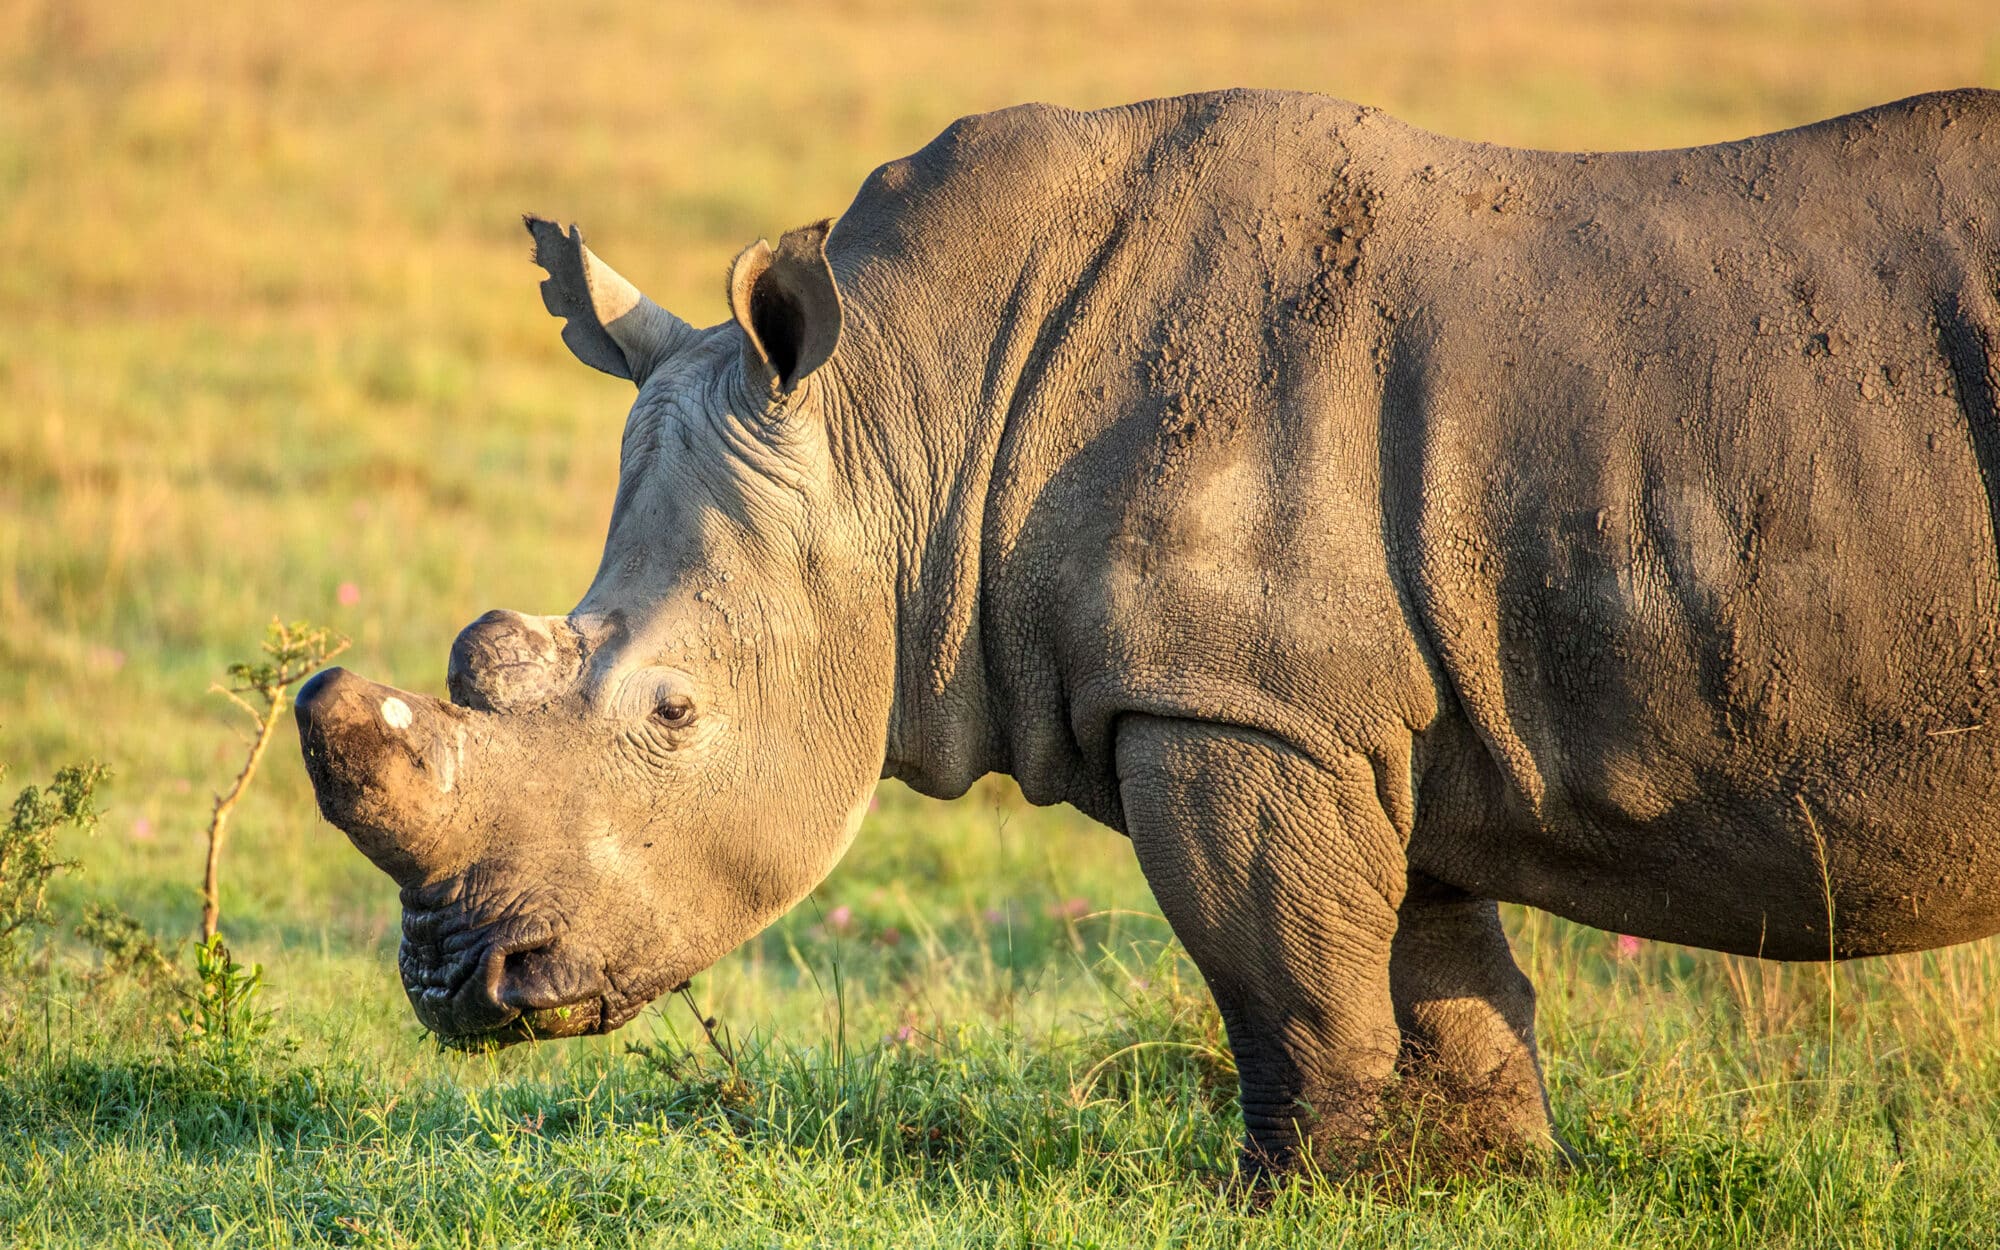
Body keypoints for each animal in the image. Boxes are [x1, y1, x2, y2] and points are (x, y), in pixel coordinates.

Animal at [297, 87, 2000, 1171]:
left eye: (672, 714)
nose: (457, 987)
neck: (908, 412)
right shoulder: (1351, 704)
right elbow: (1440, 971)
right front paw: (1494, 1186)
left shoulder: (1229, 698)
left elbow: (1290, 978)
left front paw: (1300, 1197)